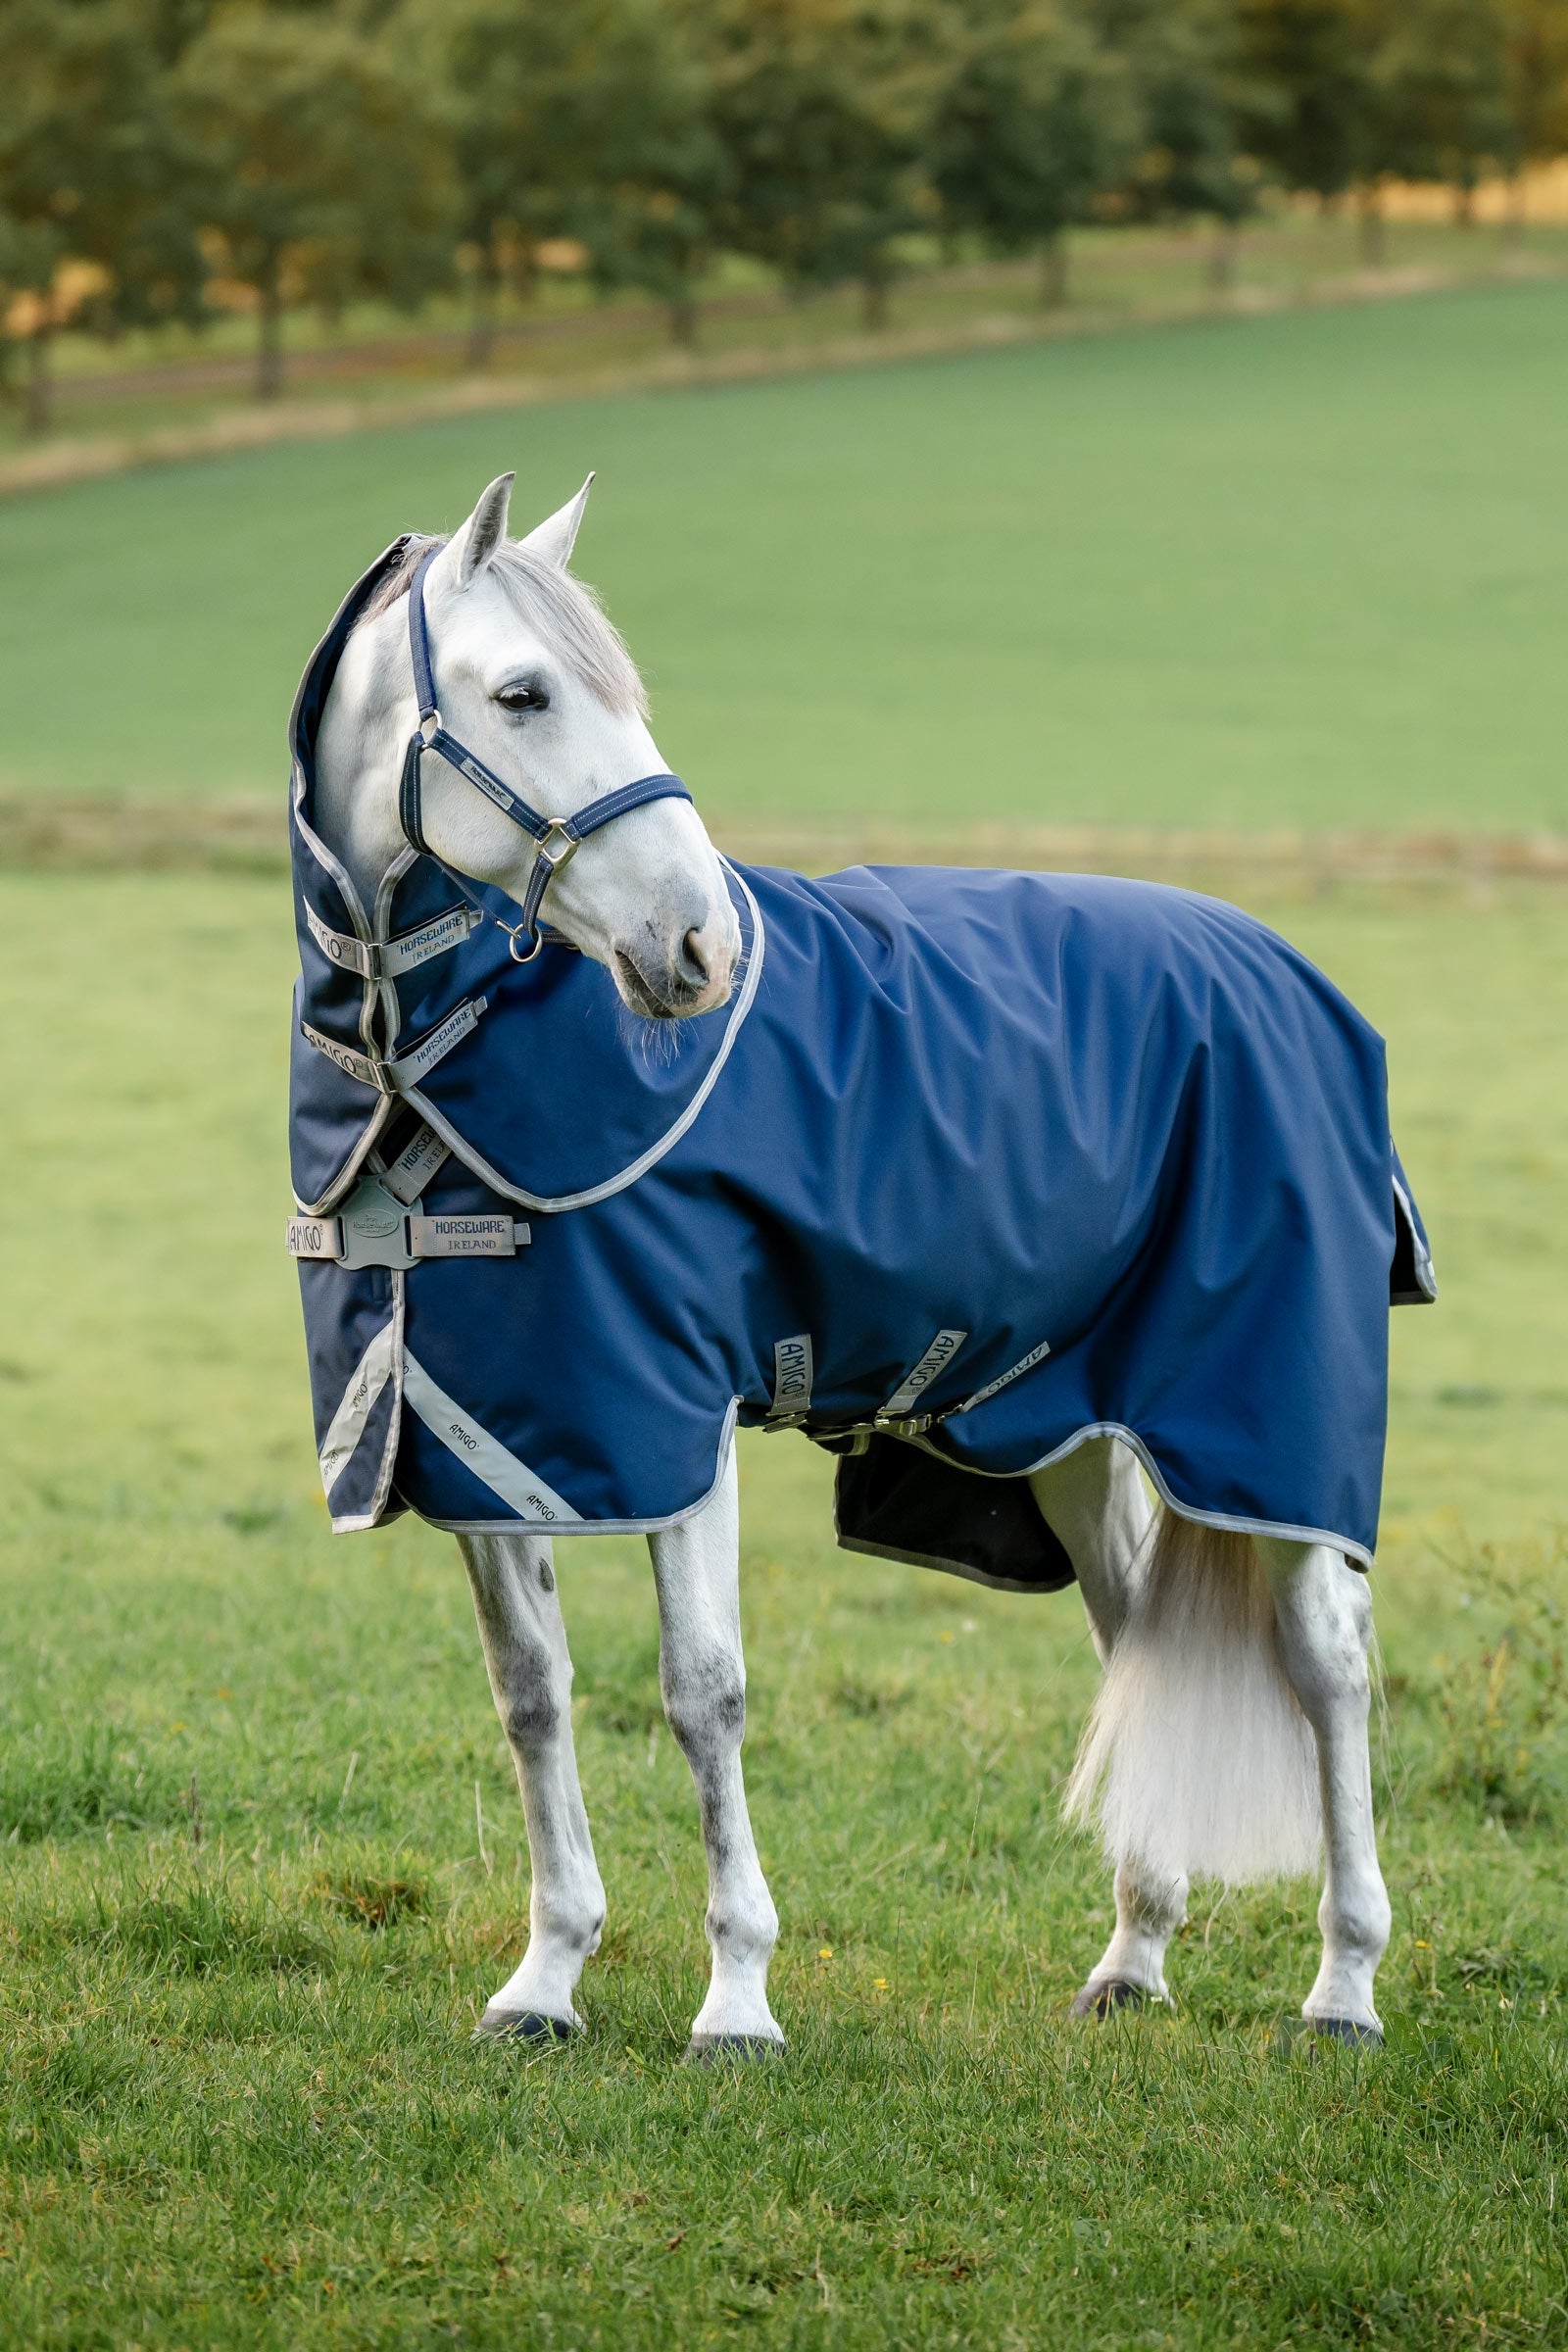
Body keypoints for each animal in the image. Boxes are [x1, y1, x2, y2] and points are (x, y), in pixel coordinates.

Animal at [294, 468, 1428, 2057]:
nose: (697, 948)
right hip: (1073, 1433)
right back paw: (1134, 1958)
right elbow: (531, 1694)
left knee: (1329, 1668)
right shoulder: (490, 1439)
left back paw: (1344, 1985)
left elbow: (702, 1693)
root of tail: (1281, 969)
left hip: (1265, 1425)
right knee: (1136, 1646)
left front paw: (737, 1997)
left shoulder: (677, 1421)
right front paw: (547, 1978)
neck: (431, 1074)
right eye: (520, 694)